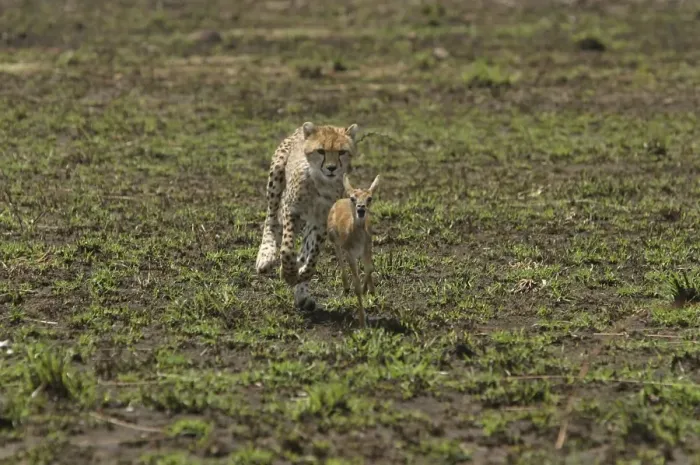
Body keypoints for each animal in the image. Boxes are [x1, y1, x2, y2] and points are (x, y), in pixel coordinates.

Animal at [255, 121, 359, 310]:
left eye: (341, 152)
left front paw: (299, 275)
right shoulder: (291, 210)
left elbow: (311, 257)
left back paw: (301, 292)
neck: (321, 183)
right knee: (271, 219)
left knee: (304, 250)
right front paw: (289, 272)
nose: (331, 168)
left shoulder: (321, 222)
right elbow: (287, 248)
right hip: (276, 178)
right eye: (321, 151)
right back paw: (266, 256)